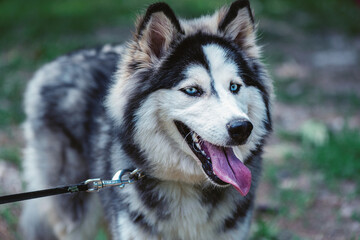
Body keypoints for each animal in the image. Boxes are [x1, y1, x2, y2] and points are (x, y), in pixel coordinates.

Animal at [21, 0, 272, 239]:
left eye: (234, 87)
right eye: (192, 90)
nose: (241, 128)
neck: (185, 184)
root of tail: (58, 61)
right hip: (75, 218)